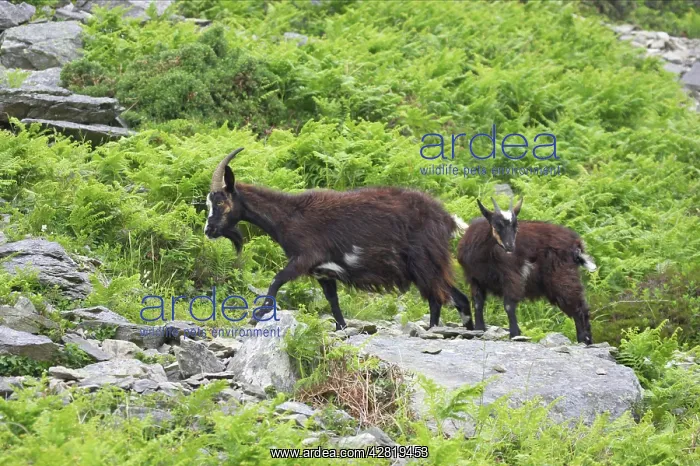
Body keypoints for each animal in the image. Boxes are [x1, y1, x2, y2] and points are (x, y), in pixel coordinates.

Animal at [203, 148, 473, 330]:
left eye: (220, 202)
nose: (209, 230)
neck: (290, 216)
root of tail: (448, 219)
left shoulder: (305, 258)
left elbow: (276, 281)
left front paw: (255, 316)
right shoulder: (324, 271)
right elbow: (333, 302)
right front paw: (342, 327)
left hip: (425, 262)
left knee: (447, 298)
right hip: (424, 268)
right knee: (447, 298)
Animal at [457, 197, 597, 344]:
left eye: (515, 226)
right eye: (496, 225)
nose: (510, 247)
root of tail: (576, 243)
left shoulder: (511, 276)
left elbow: (508, 305)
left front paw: (514, 334)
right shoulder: (475, 279)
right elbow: (478, 303)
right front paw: (479, 329)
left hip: (562, 276)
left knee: (579, 307)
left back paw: (584, 340)